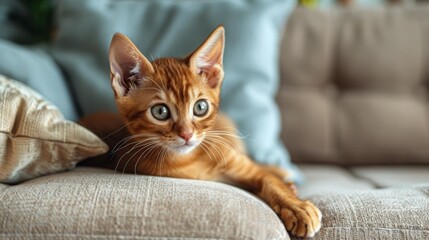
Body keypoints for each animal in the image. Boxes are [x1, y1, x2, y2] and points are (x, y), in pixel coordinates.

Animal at [83, 25, 318, 236]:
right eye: (160, 111)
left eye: (200, 107)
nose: (187, 134)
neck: (193, 159)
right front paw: (296, 205)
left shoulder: (240, 164)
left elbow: (269, 180)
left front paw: (296, 206)